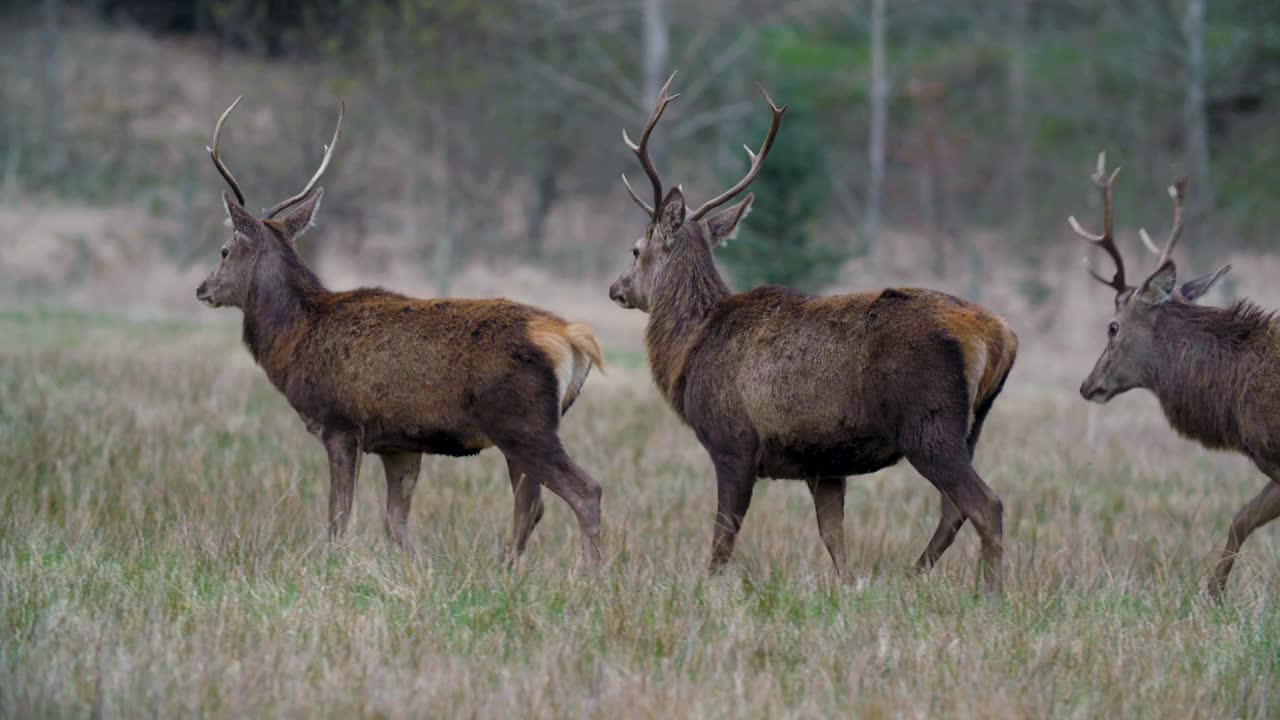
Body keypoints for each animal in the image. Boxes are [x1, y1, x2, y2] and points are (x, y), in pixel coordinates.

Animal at [194, 96, 604, 566]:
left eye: (224, 251)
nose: (202, 288)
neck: (294, 339)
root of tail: (571, 337)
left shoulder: (340, 423)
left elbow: (339, 516)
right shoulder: (400, 443)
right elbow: (396, 522)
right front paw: (421, 569)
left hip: (523, 423)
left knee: (585, 491)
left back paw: (589, 575)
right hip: (524, 431)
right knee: (530, 504)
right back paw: (506, 570)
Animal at [609, 73, 1018, 589]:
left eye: (635, 249)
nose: (616, 288)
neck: (690, 349)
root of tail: (999, 336)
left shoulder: (732, 442)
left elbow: (723, 540)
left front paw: (707, 587)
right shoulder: (824, 462)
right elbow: (833, 538)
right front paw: (848, 586)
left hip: (928, 420)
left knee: (986, 504)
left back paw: (989, 591)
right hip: (971, 426)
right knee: (954, 509)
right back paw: (913, 575)